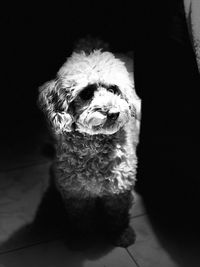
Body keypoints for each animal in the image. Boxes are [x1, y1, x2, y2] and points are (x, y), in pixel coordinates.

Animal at [37, 38, 141, 248]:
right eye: (86, 93)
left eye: (113, 89)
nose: (113, 113)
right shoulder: (75, 191)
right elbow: (80, 217)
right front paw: (81, 237)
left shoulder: (118, 189)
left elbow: (117, 214)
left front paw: (122, 234)